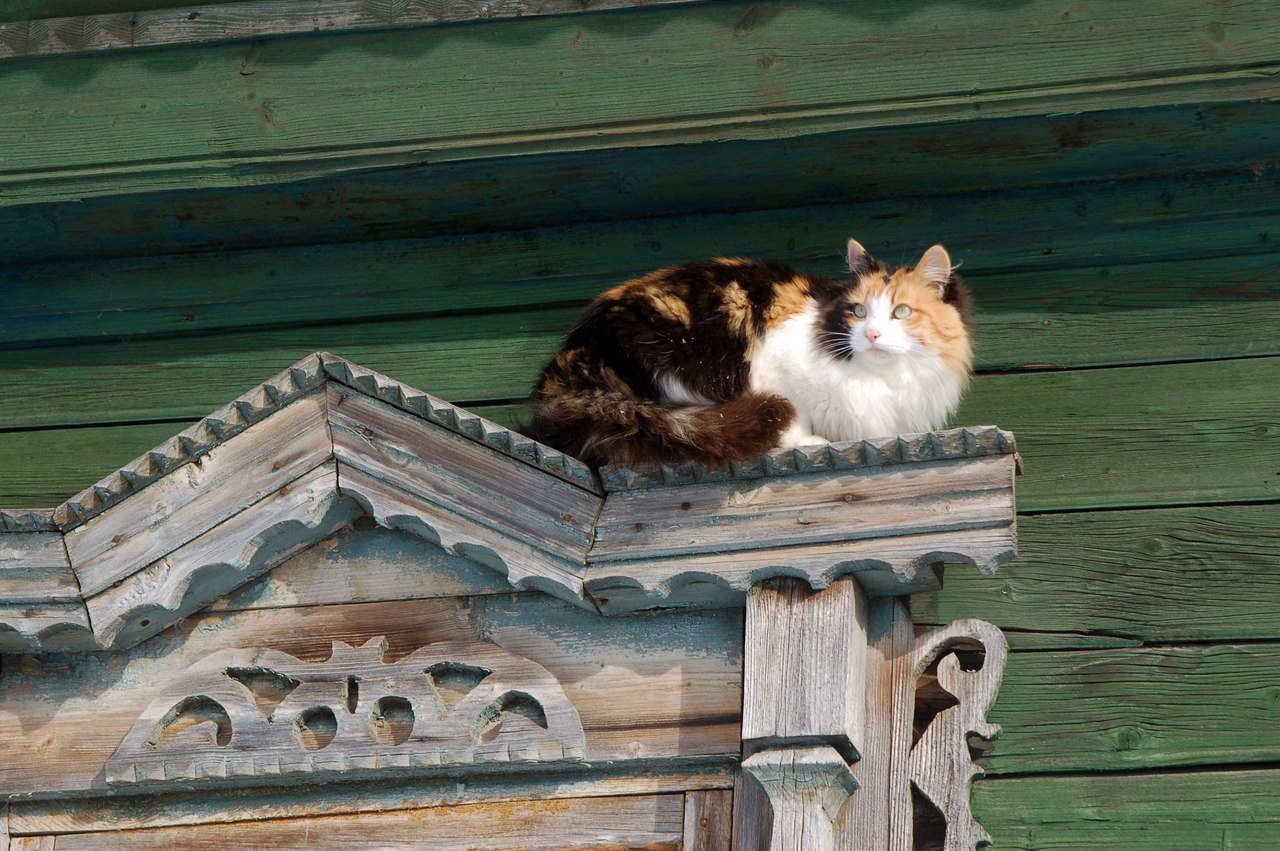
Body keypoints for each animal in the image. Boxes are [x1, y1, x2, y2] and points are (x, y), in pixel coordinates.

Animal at [529, 235, 967, 468]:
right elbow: (794, 416)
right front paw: (807, 440)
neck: (880, 379)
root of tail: (571, 354)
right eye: (858, 311)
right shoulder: (772, 365)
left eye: (901, 312)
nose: (872, 334)